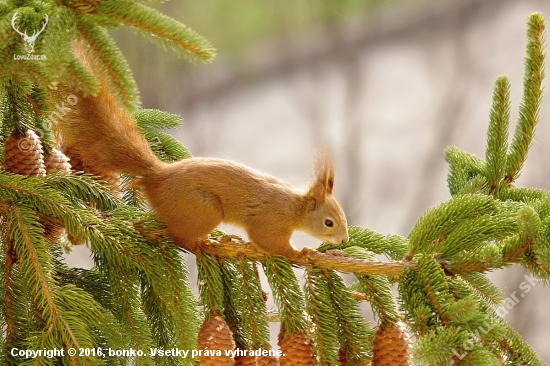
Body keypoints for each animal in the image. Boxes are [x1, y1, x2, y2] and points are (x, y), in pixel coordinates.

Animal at [55, 43, 350, 260]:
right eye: (329, 223)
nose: (345, 239)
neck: (294, 208)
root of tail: (158, 176)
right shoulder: (270, 221)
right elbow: (268, 241)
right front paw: (301, 253)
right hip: (202, 210)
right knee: (178, 236)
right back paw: (203, 244)